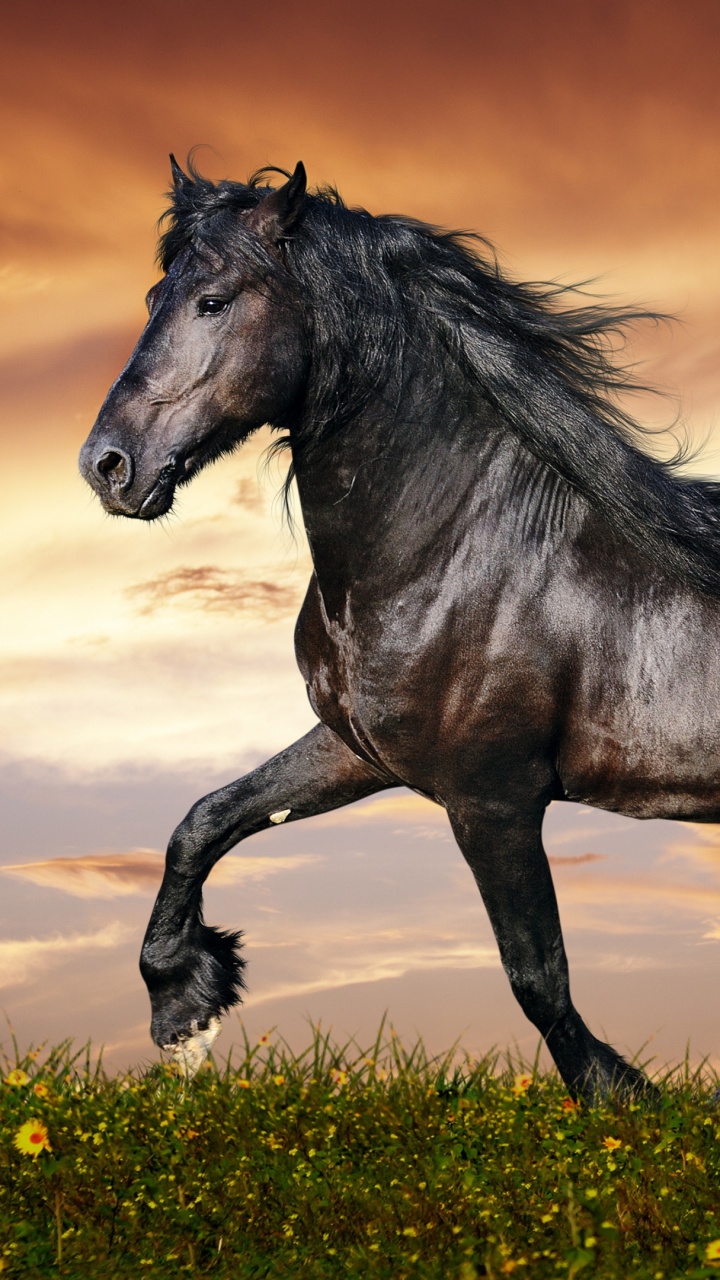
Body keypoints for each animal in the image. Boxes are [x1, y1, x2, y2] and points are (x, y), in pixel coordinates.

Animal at [79, 157, 720, 1098]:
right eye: (159, 292)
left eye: (213, 300)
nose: (107, 466)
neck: (459, 551)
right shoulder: (359, 749)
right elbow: (203, 821)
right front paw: (183, 1005)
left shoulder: (492, 798)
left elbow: (536, 975)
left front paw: (620, 1094)